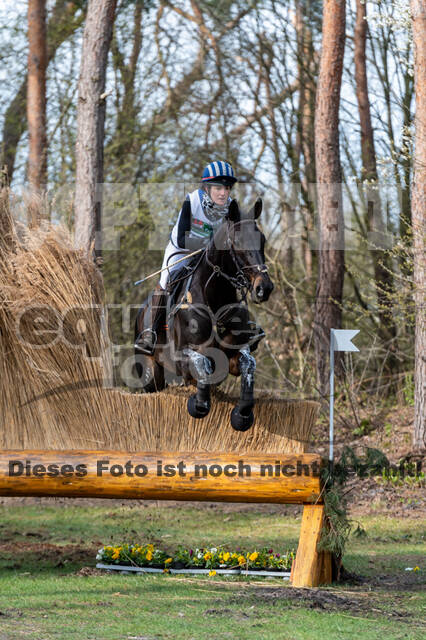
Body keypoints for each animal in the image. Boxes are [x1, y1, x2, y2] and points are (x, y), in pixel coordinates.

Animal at [134, 198, 272, 432]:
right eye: (236, 241)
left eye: (262, 239)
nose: (264, 288)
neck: (214, 296)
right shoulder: (182, 357)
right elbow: (203, 364)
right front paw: (198, 404)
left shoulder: (234, 354)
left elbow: (248, 365)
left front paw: (242, 415)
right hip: (150, 369)